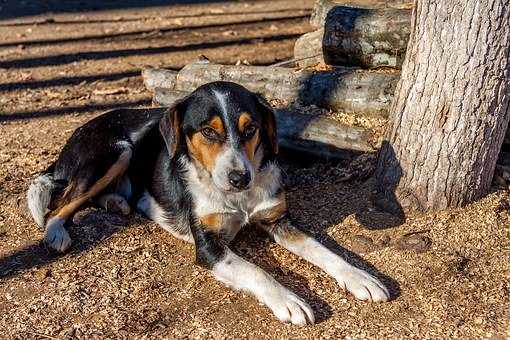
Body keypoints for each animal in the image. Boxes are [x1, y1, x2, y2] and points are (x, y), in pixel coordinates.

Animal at [25, 81, 388, 326]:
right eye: (208, 132)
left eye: (251, 129)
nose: (241, 177)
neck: (238, 199)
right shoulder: (209, 247)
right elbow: (256, 270)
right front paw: (288, 299)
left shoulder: (278, 220)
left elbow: (324, 250)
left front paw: (360, 278)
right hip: (116, 150)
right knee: (60, 204)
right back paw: (57, 232)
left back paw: (116, 202)